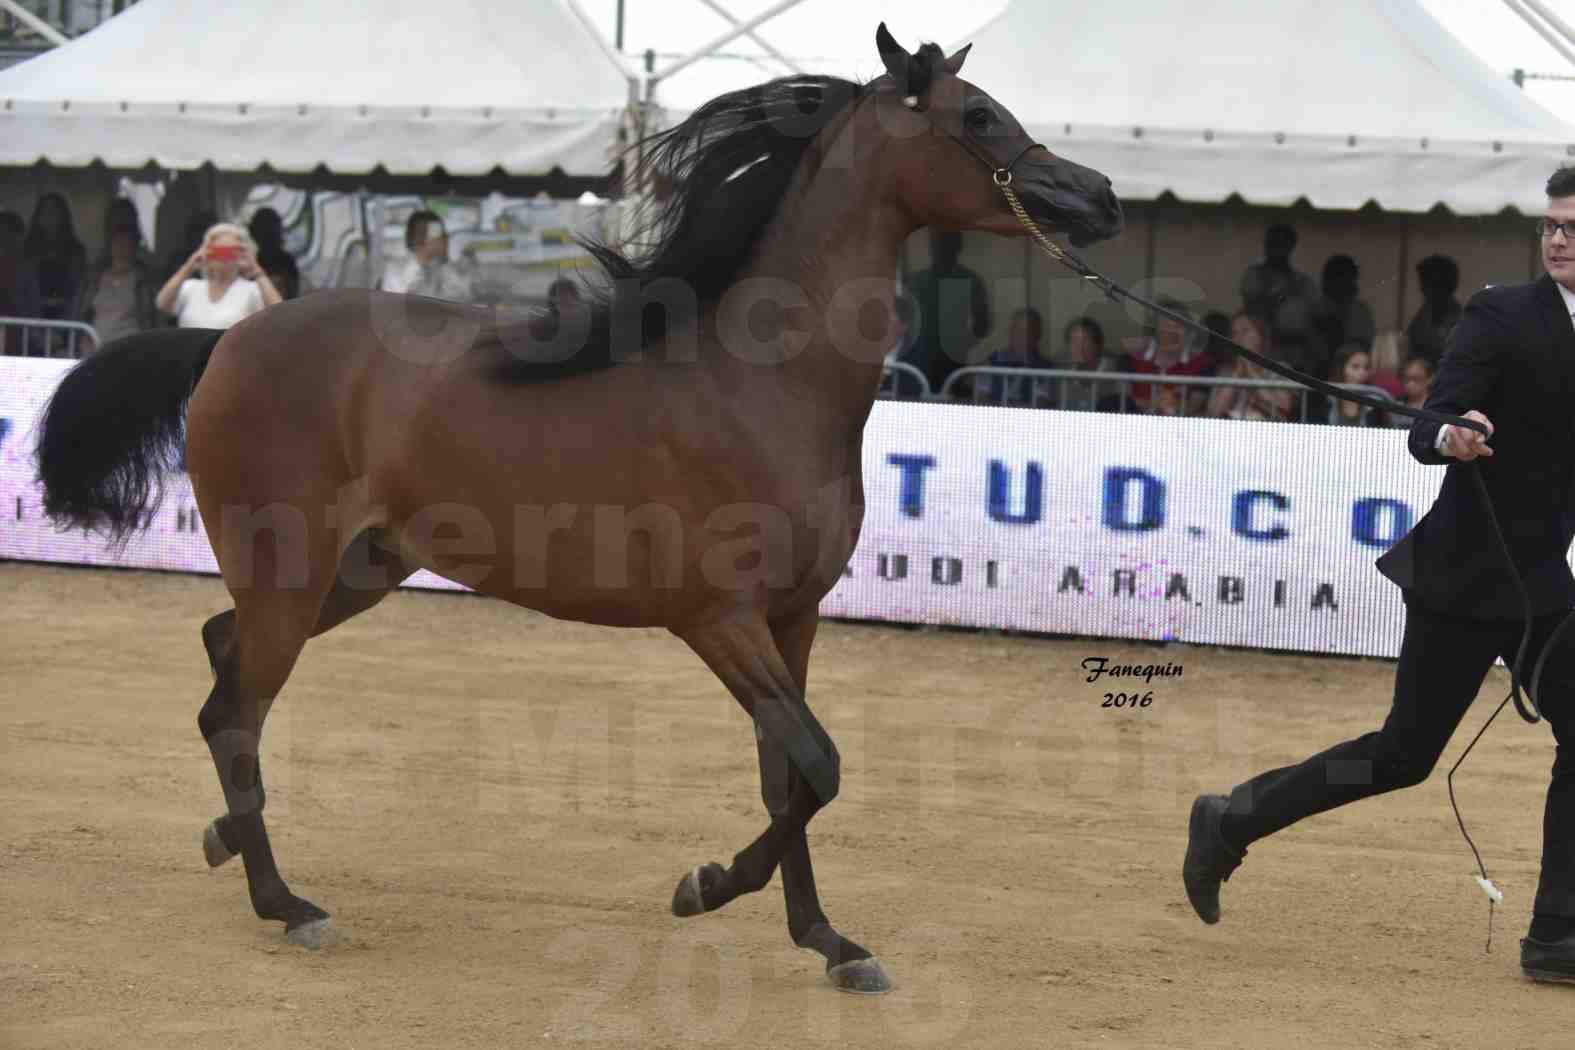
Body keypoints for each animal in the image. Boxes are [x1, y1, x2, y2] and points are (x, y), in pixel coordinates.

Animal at [33, 24, 1121, 994]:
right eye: (977, 116)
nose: (1096, 197)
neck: (758, 382)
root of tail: (225, 342)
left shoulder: (793, 619)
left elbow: (789, 776)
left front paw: (828, 941)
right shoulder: (718, 621)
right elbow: (819, 765)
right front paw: (704, 886)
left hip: (353, 573)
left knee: (221, 665)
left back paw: (228, 842)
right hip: (289, 579)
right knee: (236, 712)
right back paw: (288, 904)